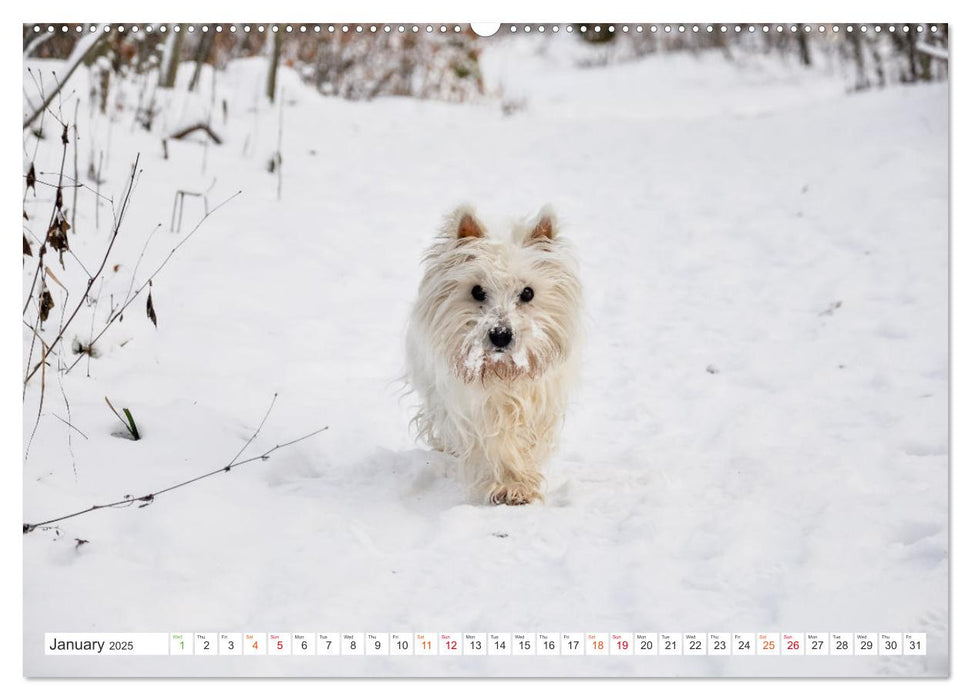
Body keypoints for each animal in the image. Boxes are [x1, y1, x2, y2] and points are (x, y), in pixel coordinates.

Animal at [406, 204, 580, 504]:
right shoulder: (470, 408)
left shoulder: (541, 402)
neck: (503, 372)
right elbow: (495, 442)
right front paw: (508, 485)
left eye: (527, 292)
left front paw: (520, 483)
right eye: (477, 291)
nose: (500, 334)